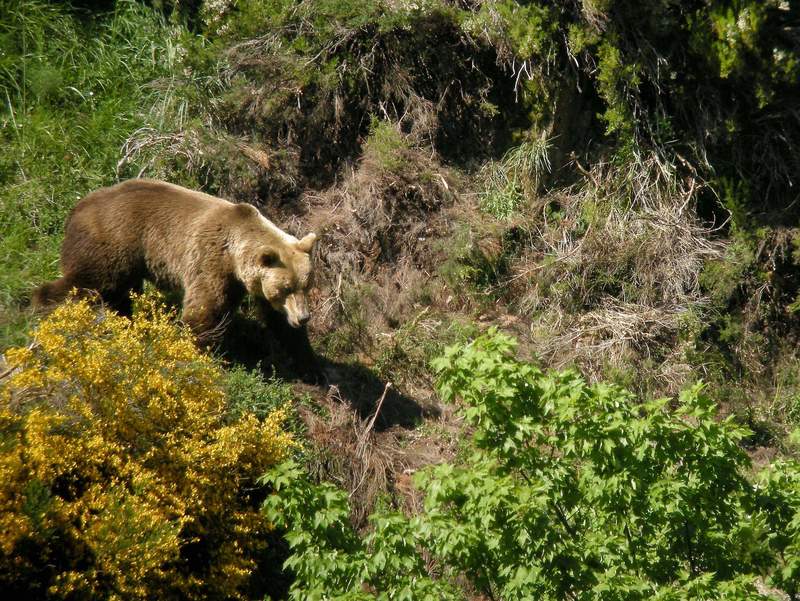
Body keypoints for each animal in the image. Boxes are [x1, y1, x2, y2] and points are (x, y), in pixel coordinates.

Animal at [33, 177, 322, 376]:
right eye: (285, 288)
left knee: (119, 293)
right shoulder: (211, 260)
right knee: (89, 284)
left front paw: (309, 363)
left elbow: (279, 324)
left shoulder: (253, 284)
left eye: (305, 285)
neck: (235, 255)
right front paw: (204, 355)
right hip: (112, 242)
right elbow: (204, 310)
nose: (303, 317)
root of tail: (77, 207)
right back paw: (44, 308)